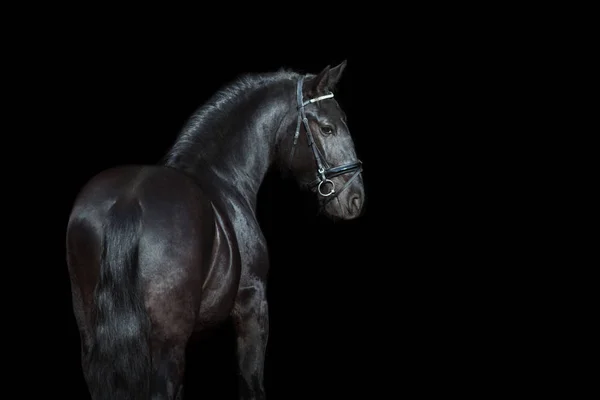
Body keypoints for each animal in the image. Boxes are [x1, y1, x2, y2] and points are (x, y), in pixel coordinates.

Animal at [65, 60, 366, 400]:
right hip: (168, 345)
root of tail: (128, 200)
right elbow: (251, 382)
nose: (356, 198)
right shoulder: (252, 305)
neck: (223, 177)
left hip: (94, 344)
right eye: (328, 128)